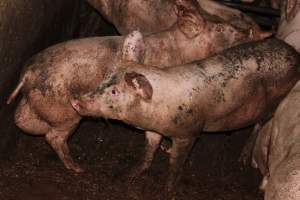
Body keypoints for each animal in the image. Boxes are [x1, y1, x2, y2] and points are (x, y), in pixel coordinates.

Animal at [69, 38, 300, 195]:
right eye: (104, 79)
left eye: (115, 92)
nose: (75, 101)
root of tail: (293, 53)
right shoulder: (153, 130)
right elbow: (148, 151)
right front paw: (129, 175)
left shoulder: (188, 132)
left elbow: (176, 163)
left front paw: (166, 190)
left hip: (275, 102)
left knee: (260, 125)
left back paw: (242, 159)